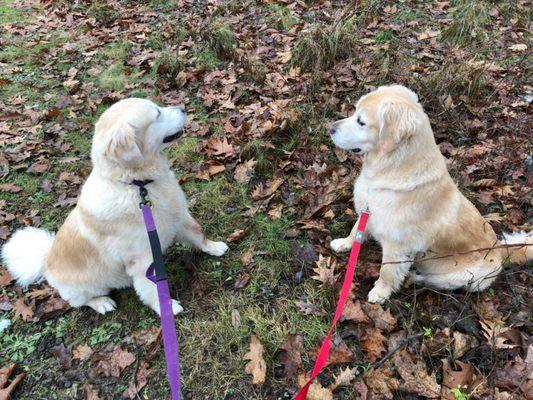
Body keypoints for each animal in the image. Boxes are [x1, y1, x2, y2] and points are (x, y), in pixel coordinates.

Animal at [1, 98, 227, 314]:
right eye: (157, 114)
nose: (182, 108)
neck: (137, 185)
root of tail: (46, 261)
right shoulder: (143, 259)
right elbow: (151, 288)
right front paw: (166, 307)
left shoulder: (178, 218)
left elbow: (198, 234)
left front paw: (215, 247)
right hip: (84, 288)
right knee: (80, 301)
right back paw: (102, 303)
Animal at [330, 85, 528, 304]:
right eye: (355, 111)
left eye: (361, 121)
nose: (331, 128)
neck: (389, 169)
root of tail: (500, 249)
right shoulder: (368, 210)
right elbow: (356, 230)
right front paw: (344, 243)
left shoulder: (397, 246)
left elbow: (387, 272)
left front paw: (380, 292)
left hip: (466, 278)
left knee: (435, 281)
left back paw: (415, 277)